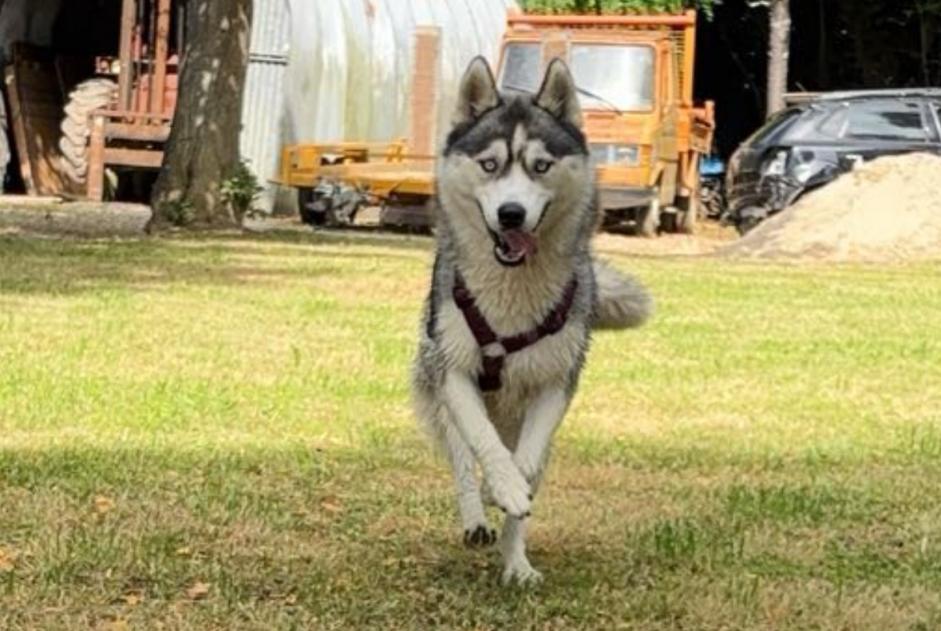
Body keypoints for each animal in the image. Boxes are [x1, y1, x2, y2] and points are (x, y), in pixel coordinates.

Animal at [412, 56, 652, 584]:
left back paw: (514, 560)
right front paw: (498, 486)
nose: (511, 213)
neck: (512, 298)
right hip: (434, 389)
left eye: (541, 166)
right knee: (462, 457)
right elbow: (482, 443)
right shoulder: (455, 371)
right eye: (489, 165)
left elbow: (527, 464)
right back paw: (476, 518)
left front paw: (512, 497)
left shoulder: (555, 384)